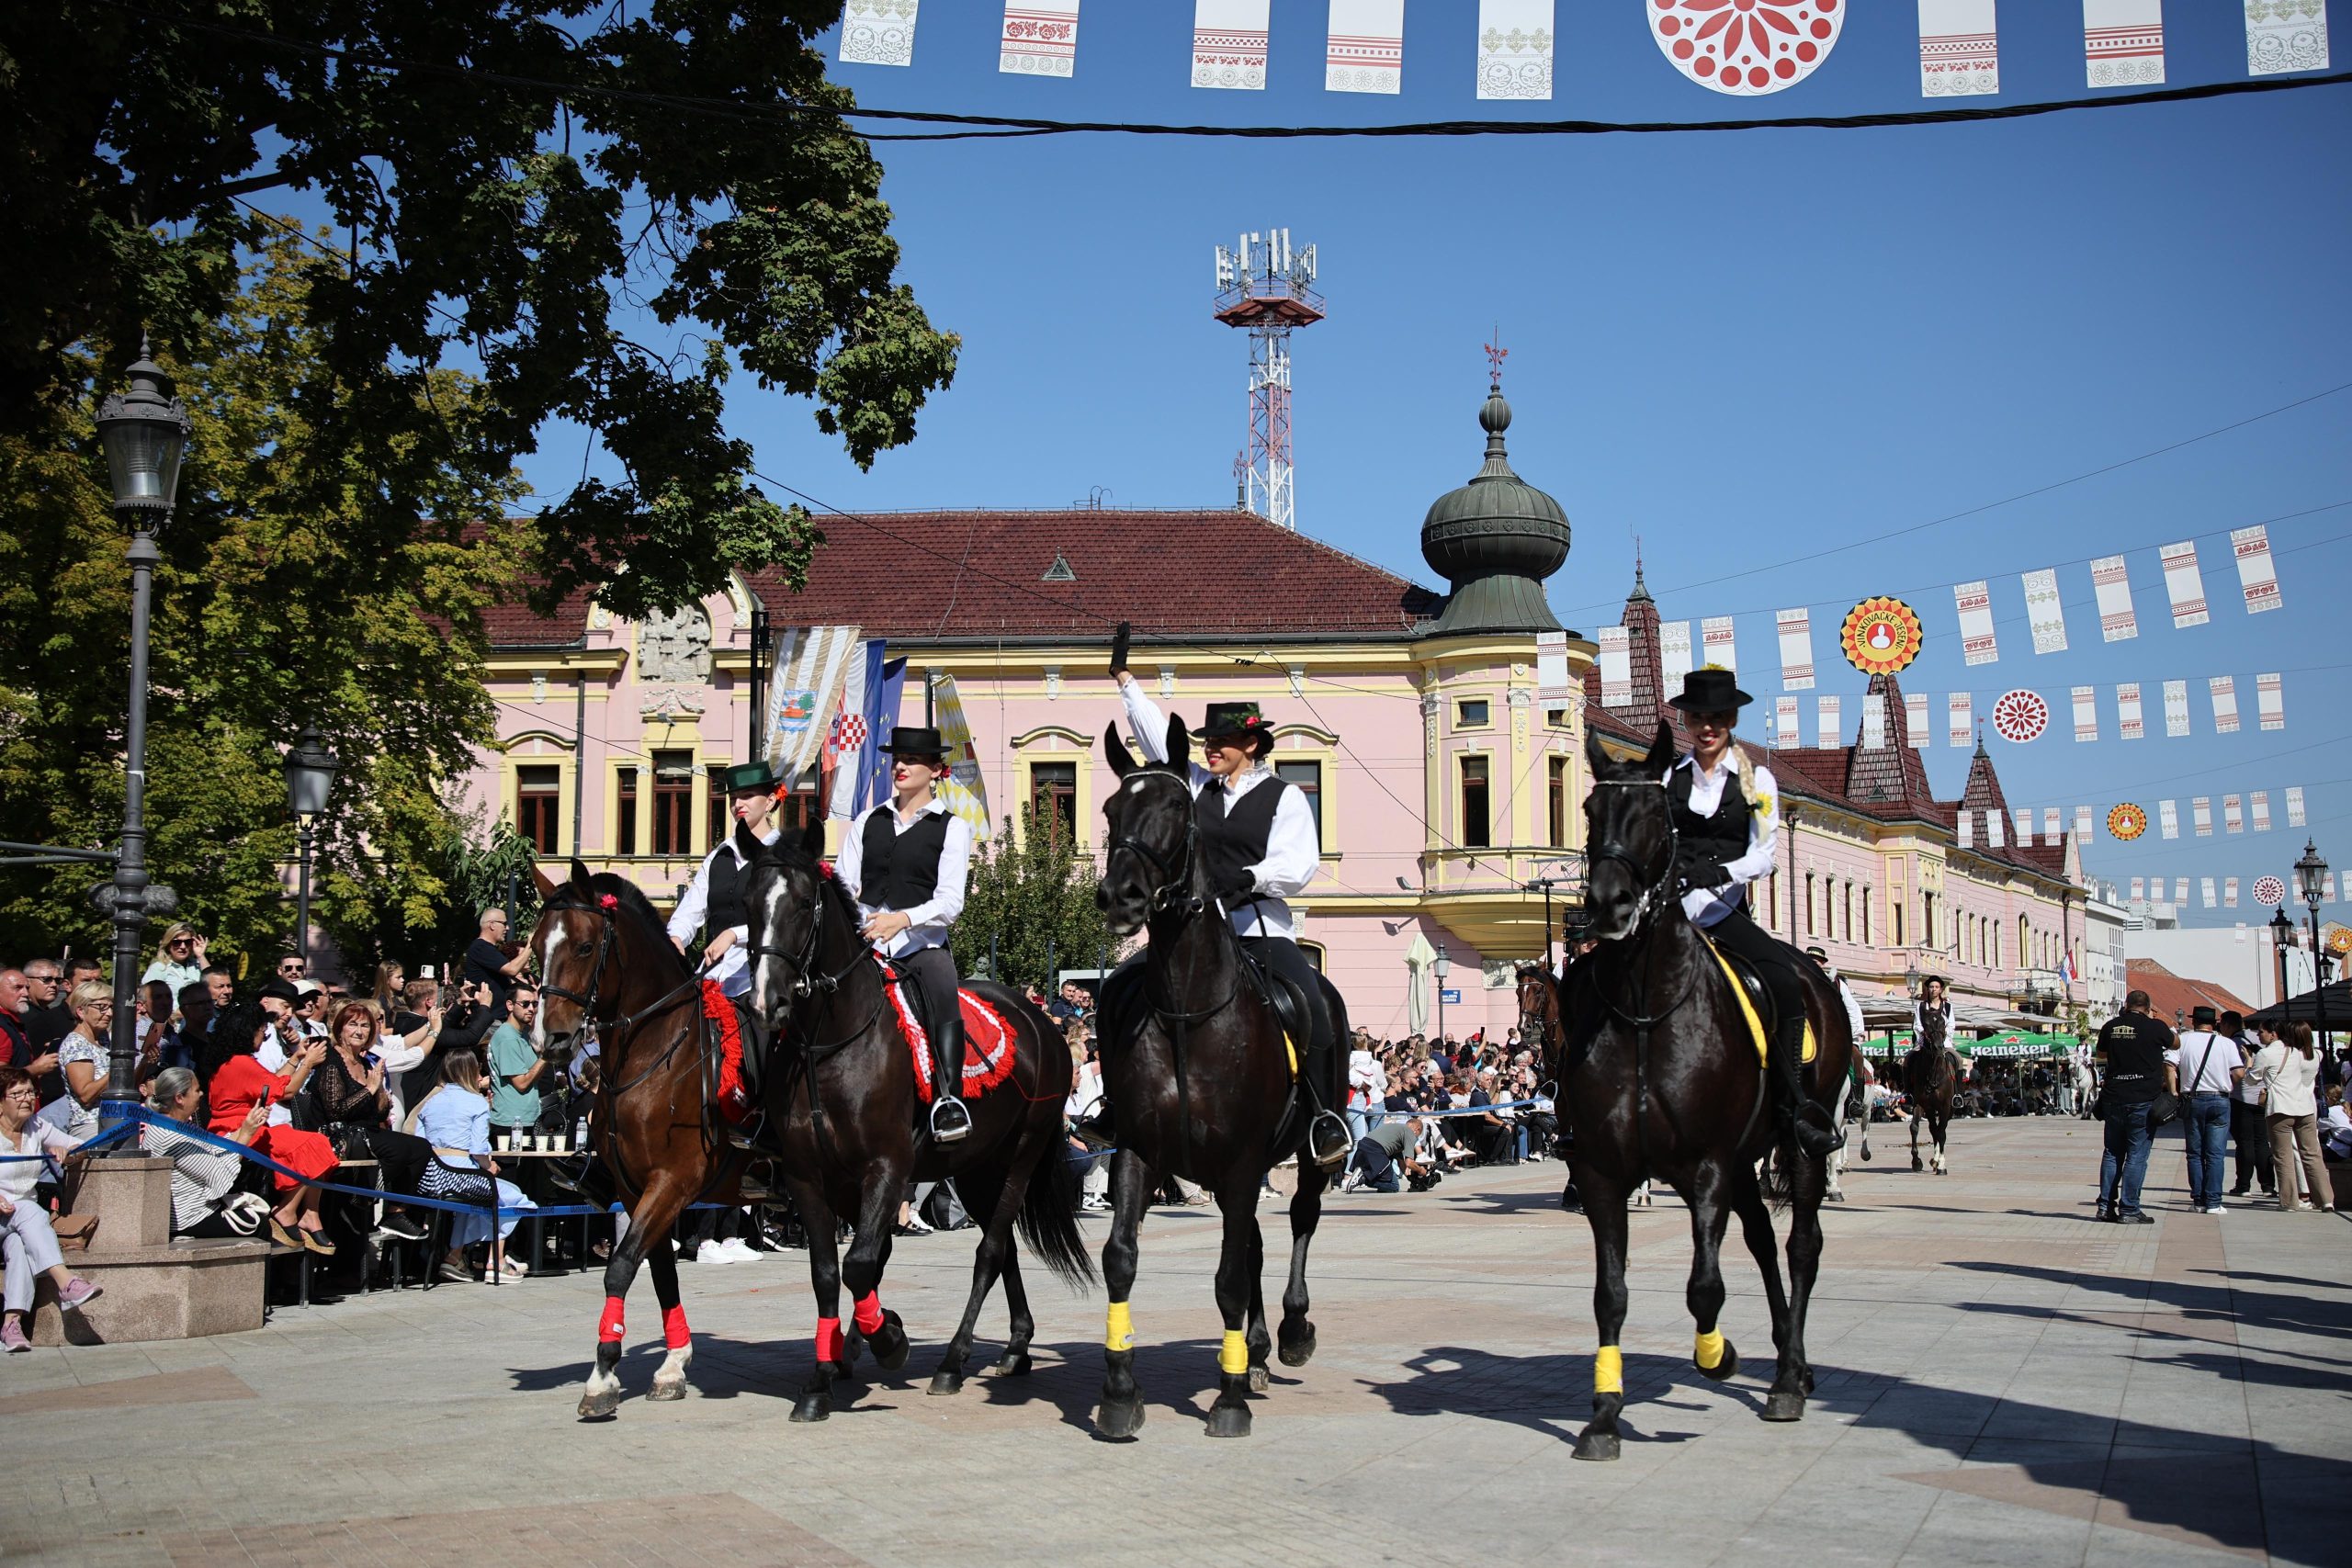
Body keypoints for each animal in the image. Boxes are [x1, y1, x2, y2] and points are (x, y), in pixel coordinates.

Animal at [528, 862, 747, 1419]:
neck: (655, 1054)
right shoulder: (636, 1188)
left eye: (585, 946)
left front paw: (602, 1374)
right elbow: (660, 1269)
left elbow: (622, 1265)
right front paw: (672, 1364)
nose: (550, 1040)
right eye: (537, 946)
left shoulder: (673, 1181)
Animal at [738, 818, 1092, 1422]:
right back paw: (1016, 1348)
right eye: (748, 903)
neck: (829, 1046)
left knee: (989, 1251)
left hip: (1020, 1157)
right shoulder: (811, 1176)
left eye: (804, 903)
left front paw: (888, 1340)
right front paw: (824, 1376)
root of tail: (1041, 1020)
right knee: (1002, 1247)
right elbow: (831, 1271)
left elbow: (861, 1264)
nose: (767, 1003)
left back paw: (953, 1361)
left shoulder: (886, 1167)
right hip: (976, 1169)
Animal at [1092, 716, 1344, 1439]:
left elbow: (1230, 1275)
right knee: (1255, 1237)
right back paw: (1254, 1349)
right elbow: (1121, 1259)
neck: (1188, 1011)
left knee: (1299, 1219)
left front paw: (1228, 1397)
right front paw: (1121, 1390)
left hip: (1304, 1153)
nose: (1120, 897)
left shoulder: (1239, 1158)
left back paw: (1288, 1332)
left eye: (1177, 811)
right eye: (1111, 809)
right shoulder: (1140, 1152)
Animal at [1556, 724, 1855, 1461]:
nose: (1607, 905)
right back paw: (1789, 1360)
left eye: (1656, 813)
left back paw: (1788, 1378)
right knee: (1762, 1241)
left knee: (1800, 1246)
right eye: (1590, 809)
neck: (1644, 1011)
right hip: (1747, 1161)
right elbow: (1611, 1294)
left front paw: (1717, 1356)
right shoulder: (1602, 1171)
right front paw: (1604, 1415)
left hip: (1796, 1146)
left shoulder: (1708, 1165)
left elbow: (1704, 1287)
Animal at [1904, 1006, 1959, 1175]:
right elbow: (1918, 1128)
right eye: (1926, 1024)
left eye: (1943, 1022)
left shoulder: (1945, 1106)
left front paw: (1941, 1165)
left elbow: (1941, 1132)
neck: (1933, 1072)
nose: (1938, 1047)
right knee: (1932, 1128)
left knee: (1942, 1129)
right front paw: (1917, 1161)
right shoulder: (1924, 1104)